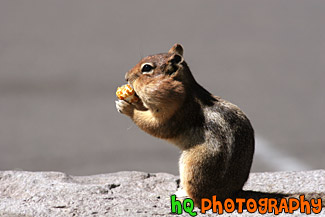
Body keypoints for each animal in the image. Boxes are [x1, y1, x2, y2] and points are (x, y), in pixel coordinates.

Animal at [115, 43, 254, 205]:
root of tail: (229, 194)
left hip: (193, 164)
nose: (126, 76)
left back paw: (182, 195)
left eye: (147, 68)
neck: (186, 90)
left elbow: (155, 126)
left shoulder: (172, 113)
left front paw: (127, 107)